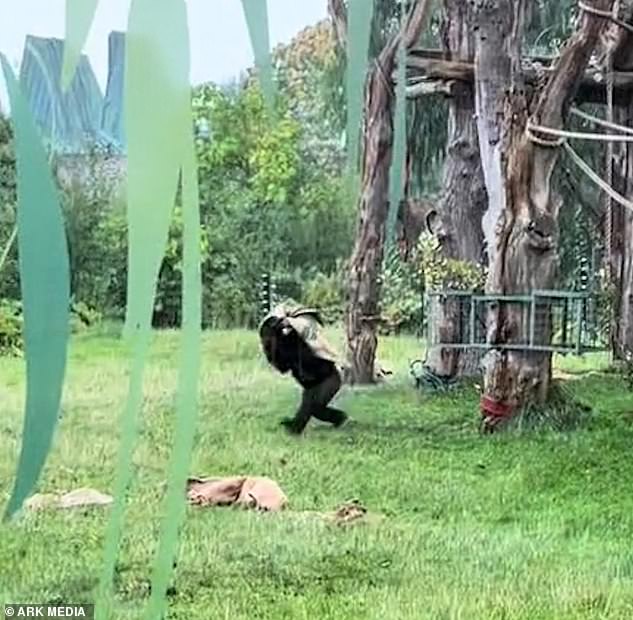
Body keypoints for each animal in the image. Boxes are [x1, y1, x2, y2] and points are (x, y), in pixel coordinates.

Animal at [256, 306, 346, 436]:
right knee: (311, 404)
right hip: (313, 388)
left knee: (315, 406)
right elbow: (280, 364)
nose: (265, 343)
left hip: (332, 382)